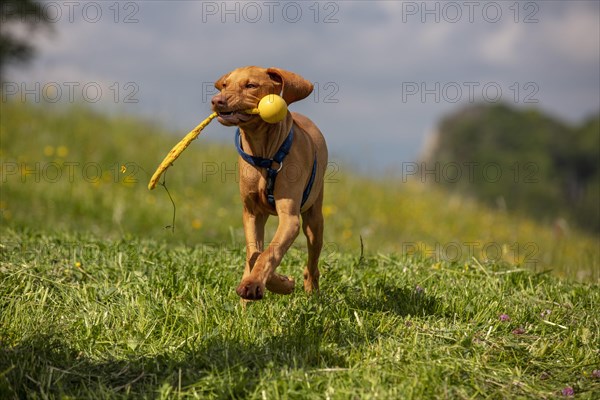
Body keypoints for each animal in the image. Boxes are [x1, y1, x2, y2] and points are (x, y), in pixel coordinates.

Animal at [211, 66, 328, 300]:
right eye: (225, 85)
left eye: (251, 85)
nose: (217, 101)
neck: (264, 155)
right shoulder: (252, 214)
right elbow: (255, 254)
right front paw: (278, 282)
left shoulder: (290, 219)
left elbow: (269, 253)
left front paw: (257, 283)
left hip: (314, 221)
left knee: (312, 264)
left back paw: (311, 290)